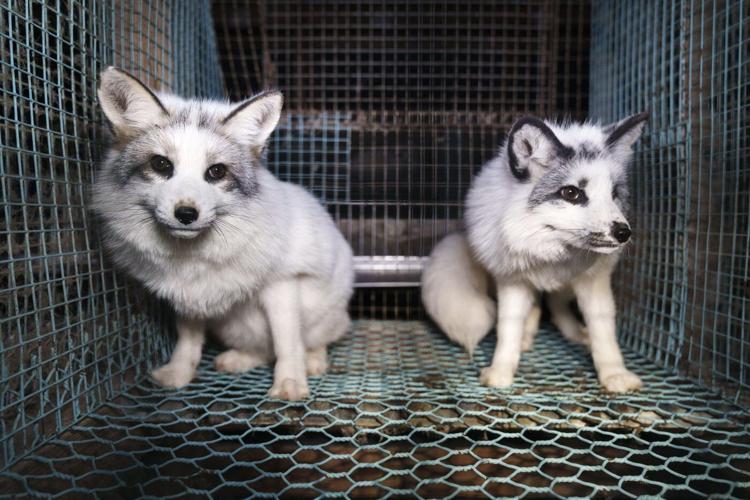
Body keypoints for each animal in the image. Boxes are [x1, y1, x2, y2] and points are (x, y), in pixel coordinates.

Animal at [92, 67, 354, 401]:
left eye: (216, 172)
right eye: (161, 164)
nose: (186, 214)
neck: (192, 256)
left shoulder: (282, 285)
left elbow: (287, 343)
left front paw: (289, 382)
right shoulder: (188, 297)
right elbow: (188, 341)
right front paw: (180, 372)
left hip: (324, 318)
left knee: (306, 343)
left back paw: (313, 361)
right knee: (262, 351)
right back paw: (238, 359)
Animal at [421, 113, 648, 393]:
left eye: (614, 194)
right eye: (571, 193)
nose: (623, 232)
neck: (550, 252)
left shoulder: (593, 281)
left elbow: (603, 330)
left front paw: (614, 373)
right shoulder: (512, 280)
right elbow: (508, 327)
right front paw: (501, 369)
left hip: (566, 288)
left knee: (555, 305)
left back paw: (575, 333)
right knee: (538, 307)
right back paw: (527, 337)